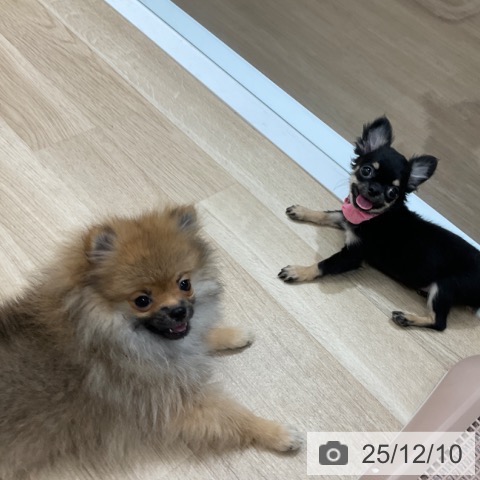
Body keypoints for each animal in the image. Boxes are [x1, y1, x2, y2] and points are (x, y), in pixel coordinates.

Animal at [0, 205, 301, 479]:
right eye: (142, 300)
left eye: (184, 283)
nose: (178, 311)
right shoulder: (172, 400)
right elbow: (233, 418)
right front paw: (276, 433)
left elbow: (199, 336)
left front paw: (232, 334)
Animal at [279, 116, 480, 331]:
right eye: (366, 170)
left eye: (393, 192)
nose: (375, 189)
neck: (374, 216)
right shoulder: (347, 219)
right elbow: (328, 214)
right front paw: (302, 211)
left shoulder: (352, 256)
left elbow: (324, 264)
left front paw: (299, 271)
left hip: (445, 287)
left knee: (439, 322)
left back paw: (407, 318)